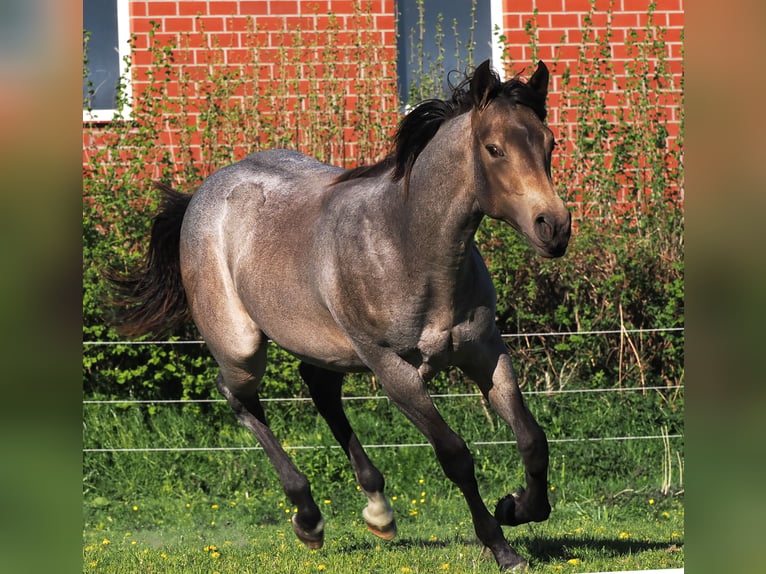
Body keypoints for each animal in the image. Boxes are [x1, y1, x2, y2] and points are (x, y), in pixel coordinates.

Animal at [108, 59, 571, 571]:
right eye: (494, 149)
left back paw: (378, 510)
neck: (410, 245)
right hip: (241, 346)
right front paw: (502, 545)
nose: (554, 228)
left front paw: (517, 507)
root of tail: (200, 194)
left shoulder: (485, 353)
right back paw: (308, 518)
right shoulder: (394, 370)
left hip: (329, 346)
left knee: (320, 390)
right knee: (238, 396)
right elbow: (455, 455)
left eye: (550, 142)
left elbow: (533, 440)